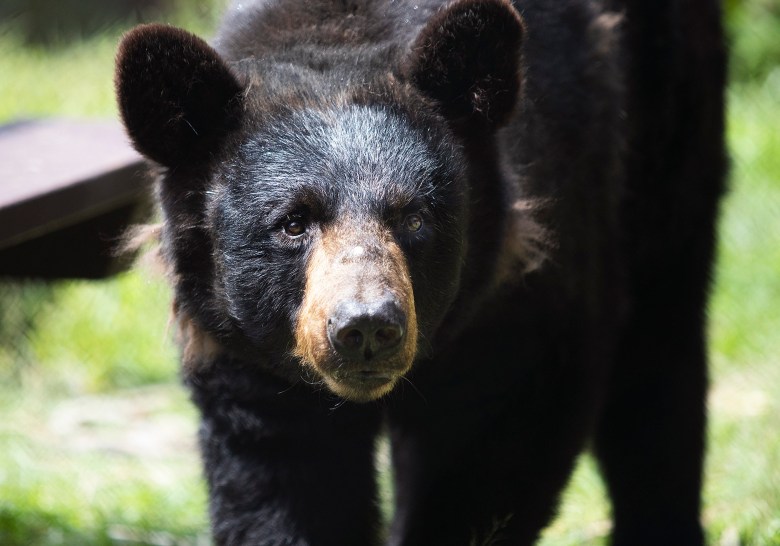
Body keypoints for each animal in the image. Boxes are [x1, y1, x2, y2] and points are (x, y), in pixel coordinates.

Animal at [114, 0, 726, 544]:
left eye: (413, 216)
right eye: (292, 223)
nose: (365, 327)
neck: (337, 30)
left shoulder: (519, 296)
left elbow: (499, 438)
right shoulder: (243, 348)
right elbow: (281, 473)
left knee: (659, 347)